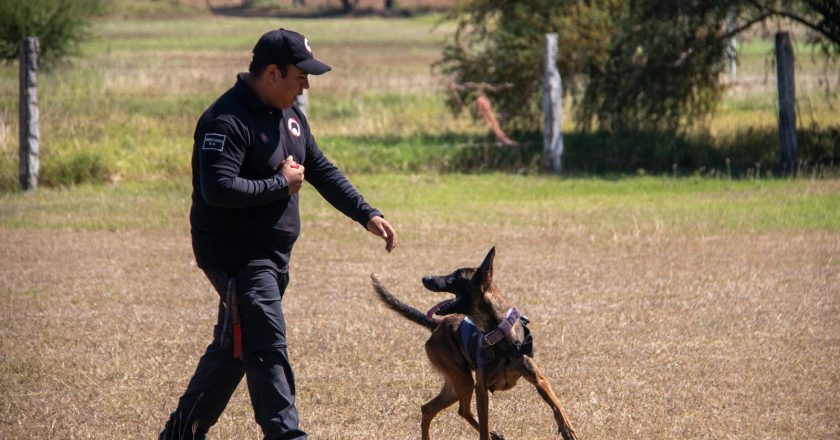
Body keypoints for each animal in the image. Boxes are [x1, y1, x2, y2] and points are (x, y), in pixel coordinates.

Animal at [372, 248, 576, 440]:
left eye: (455, 277)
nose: (425, 278)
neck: (500, 334)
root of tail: (438, 324)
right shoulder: (481, 388)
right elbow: (484, 426)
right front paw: (488, 433)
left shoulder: (538, 379)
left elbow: (556, 404)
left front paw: (568, 429)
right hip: (464, 379)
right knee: (462, 410)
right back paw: (493, 434)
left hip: (457, 384)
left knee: (429, 408)